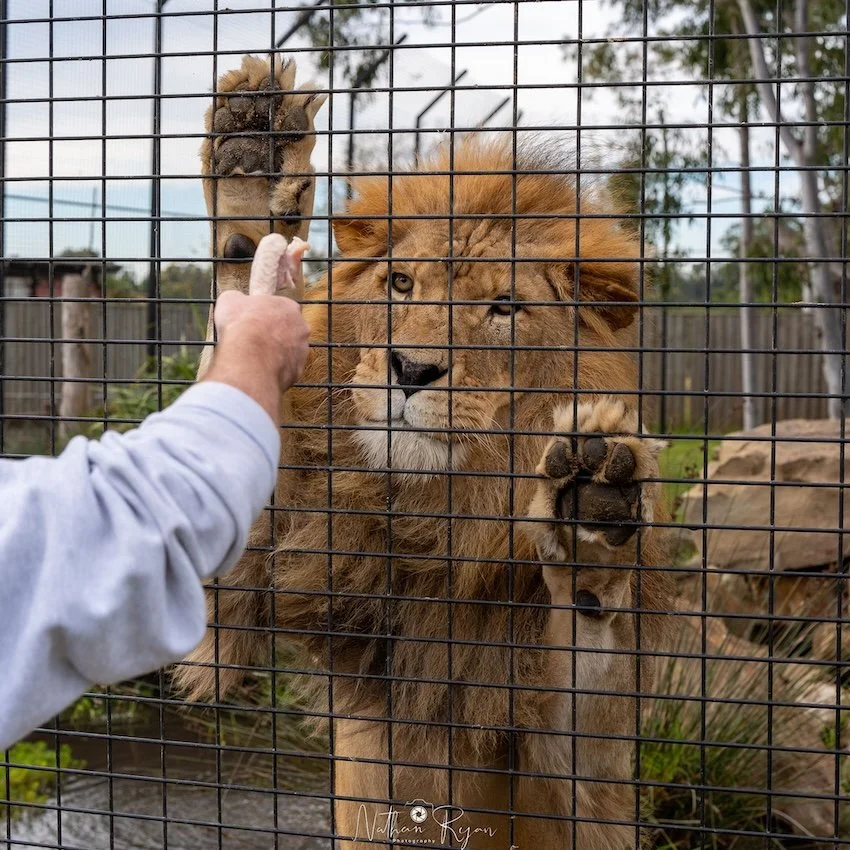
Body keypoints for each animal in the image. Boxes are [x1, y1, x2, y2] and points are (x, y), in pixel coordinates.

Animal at [175, 55, 673, 850]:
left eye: (504, 308)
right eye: (401, 284)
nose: (410, 370)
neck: (430, 507)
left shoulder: (581, 764)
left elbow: (588, 672)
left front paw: (593, 520)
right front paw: (253, 151)